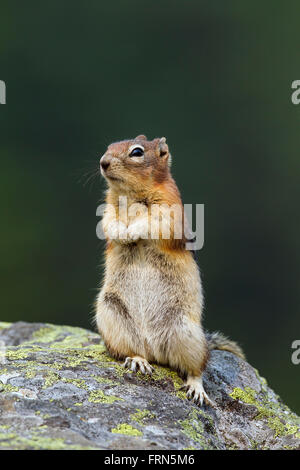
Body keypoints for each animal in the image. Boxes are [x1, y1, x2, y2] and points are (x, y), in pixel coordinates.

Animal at [95, 134, 244, 406]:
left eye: (137, 152)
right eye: (109, 146)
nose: (103, 162)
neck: (129, 194)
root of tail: (154, 349)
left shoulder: (169, 208)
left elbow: (154, 222)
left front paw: (132, 231)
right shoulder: (108, 208)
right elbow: (109, 222)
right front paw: (121, 233)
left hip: (187, 333)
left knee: (196, 368)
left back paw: (197, 389)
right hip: (112, 316)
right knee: (132, 350)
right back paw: (138, 361)